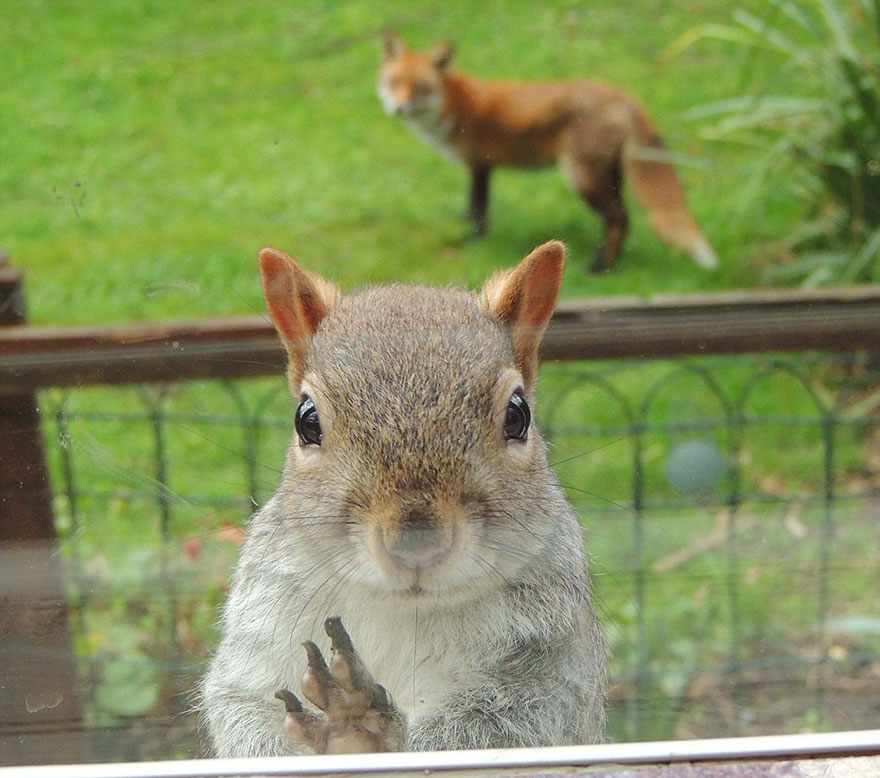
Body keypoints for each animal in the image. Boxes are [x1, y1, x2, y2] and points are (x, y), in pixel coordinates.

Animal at [201, 240, 606, 756]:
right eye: (306, 420)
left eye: (519, 414)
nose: (416, 541)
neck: (398, 606)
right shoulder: (260, 630)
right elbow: (241, 710)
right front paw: (342, 731)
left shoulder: (547, 670)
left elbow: (498, 730)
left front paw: (362, 732)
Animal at [377, 31, 717, 272]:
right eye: (394, 83)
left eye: (420, 88)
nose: (399, 108)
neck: (454, 105)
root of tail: (621, 94)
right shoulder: (479, 167)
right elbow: (470, 207)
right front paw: (463, 223)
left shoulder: (479, 163)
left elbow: (479, 209)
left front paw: (472, 239)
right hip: (609, 176)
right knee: (619, 218)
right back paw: (606, 259)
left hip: (581, 176)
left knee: (619, 218)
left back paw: (600, 266)